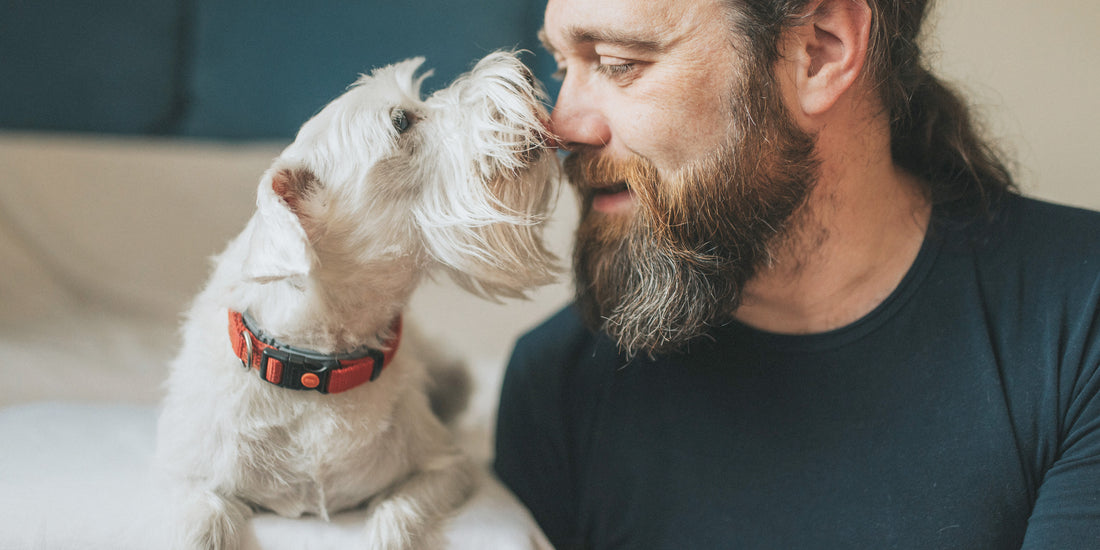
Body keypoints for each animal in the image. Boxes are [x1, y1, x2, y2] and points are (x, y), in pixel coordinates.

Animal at [155, 52, 558, 550]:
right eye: (401, 120)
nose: (523, 72)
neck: (317, 370)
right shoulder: (182, 476)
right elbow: (204, 519)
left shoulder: (446, 468)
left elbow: (399, 512)